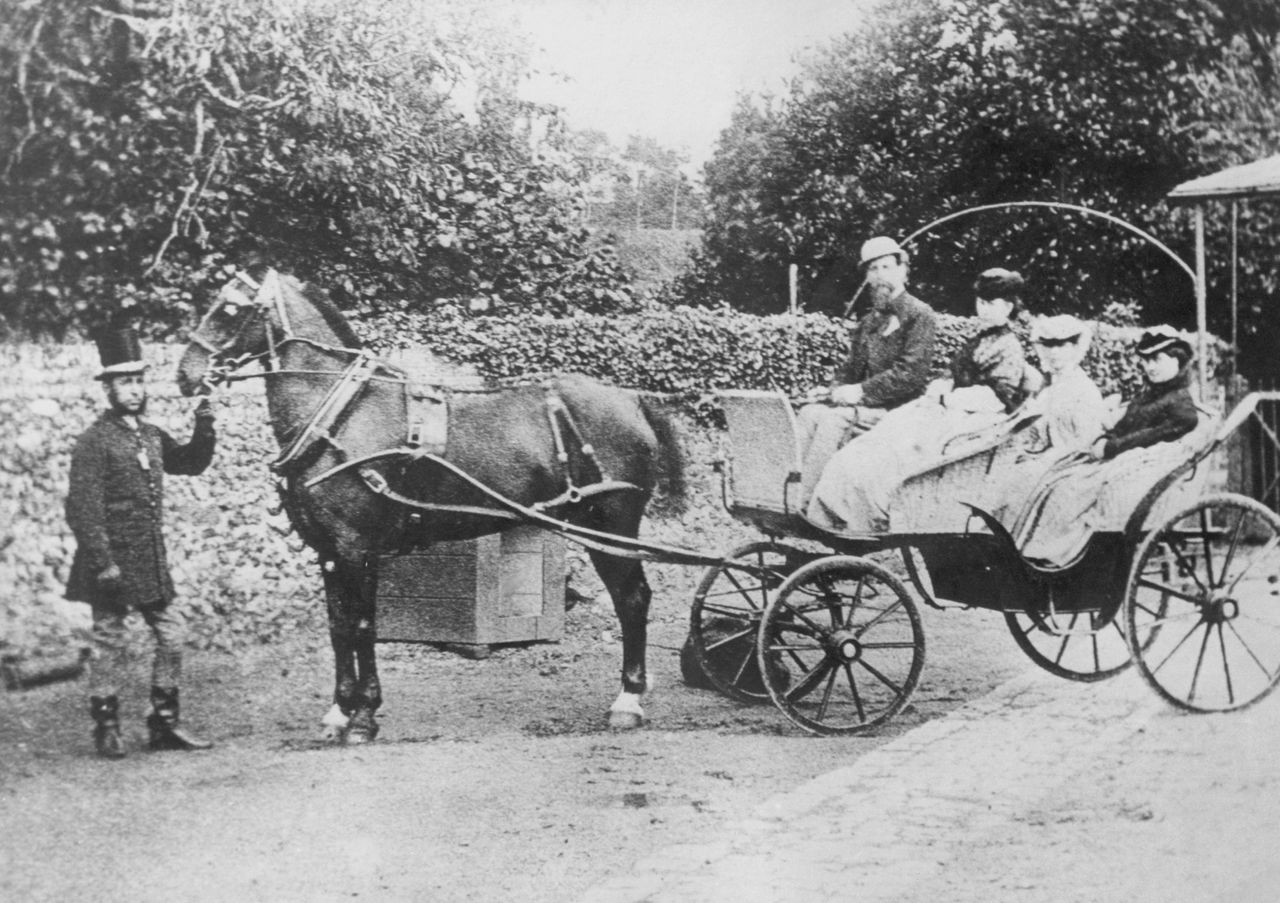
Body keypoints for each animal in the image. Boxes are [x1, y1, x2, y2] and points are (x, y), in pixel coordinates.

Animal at [177, 267, 691, 737]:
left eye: (229, 309)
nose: (186, 375)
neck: (339, 415)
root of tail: (632, 400)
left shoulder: (357, 548)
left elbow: (362, 626)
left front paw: (364, 715)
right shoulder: (328, 552)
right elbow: (338, 627)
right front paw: (339, 711)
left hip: (611, 525)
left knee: (632, 600)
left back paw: (627, 701)